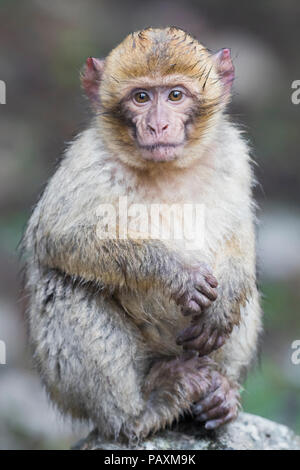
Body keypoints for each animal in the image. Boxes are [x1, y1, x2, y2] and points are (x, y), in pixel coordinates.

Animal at [22, 28, 262, 440]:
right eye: (141, 97)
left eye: (175, 95)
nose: (158, 125)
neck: (167, 169)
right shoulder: (88, 160)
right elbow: (59, 238)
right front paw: (177, 273)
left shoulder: (232, 153)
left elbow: (239, 233)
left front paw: (227, 296)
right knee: (65, 285)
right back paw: (142, 409)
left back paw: (220, 393)